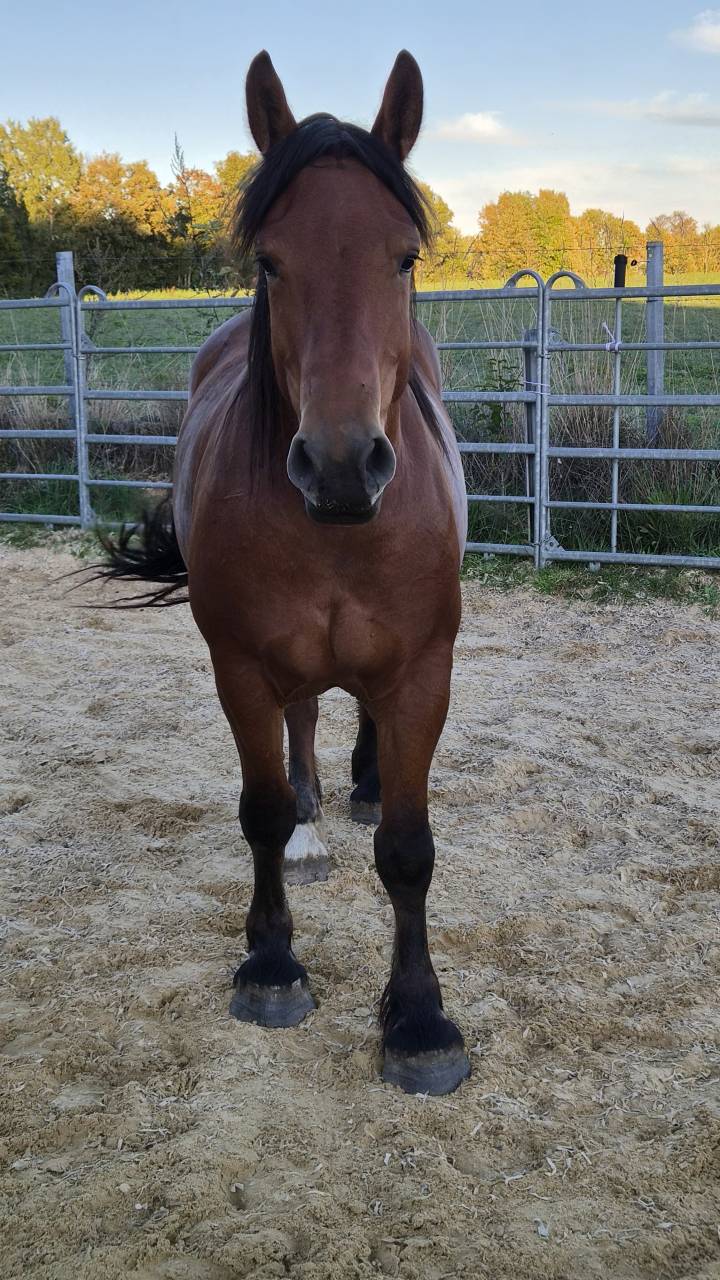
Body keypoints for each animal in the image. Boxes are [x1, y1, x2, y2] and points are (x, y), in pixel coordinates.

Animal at [99, 50, 470, 1095]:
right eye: (270, 260)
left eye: (404, 257)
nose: (343, 466)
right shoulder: (240, 666)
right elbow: (259, 811)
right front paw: (271, 963)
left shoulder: (424, 669)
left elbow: (409, 849)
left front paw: (419, 1019)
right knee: (304, 720)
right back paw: (311, 822)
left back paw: (361, 783)